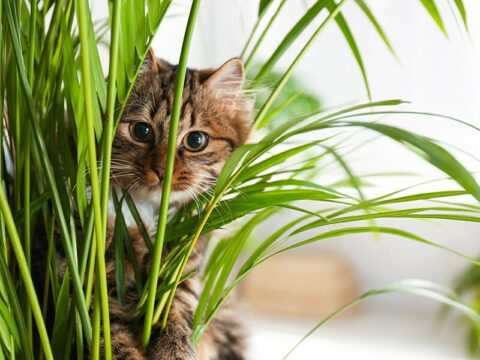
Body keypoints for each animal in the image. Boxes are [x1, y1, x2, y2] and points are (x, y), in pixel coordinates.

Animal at [102, 51, 251, 360]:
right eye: (141, 130)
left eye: (195, 140)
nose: (162, 170)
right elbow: (114, 338)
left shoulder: (185, 272)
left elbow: (175, 308)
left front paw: (174, 350)